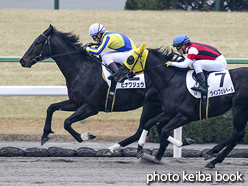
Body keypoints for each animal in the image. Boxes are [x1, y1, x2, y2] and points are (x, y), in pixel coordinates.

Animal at [18, 24, 166, 153]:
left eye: (38, 42)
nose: (22, 60)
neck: (81, 69)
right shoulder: (75, 102)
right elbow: (51, 108)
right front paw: (45, 135)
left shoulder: (90, 107)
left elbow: (67, 122)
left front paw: (85, 136)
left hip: (151, 104)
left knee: (141, 129)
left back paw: (115, 147)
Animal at [115, 45, 248, 169]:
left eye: (130, 59)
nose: (116, 75)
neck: (173, 82)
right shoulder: (169, 113)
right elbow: (148, 124)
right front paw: (140, 149)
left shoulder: (185, 116)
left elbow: (164, 131)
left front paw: (185, 142)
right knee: (239, 134)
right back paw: (213, 161)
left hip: (239, 106)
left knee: (236, 134)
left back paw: (211, 153)